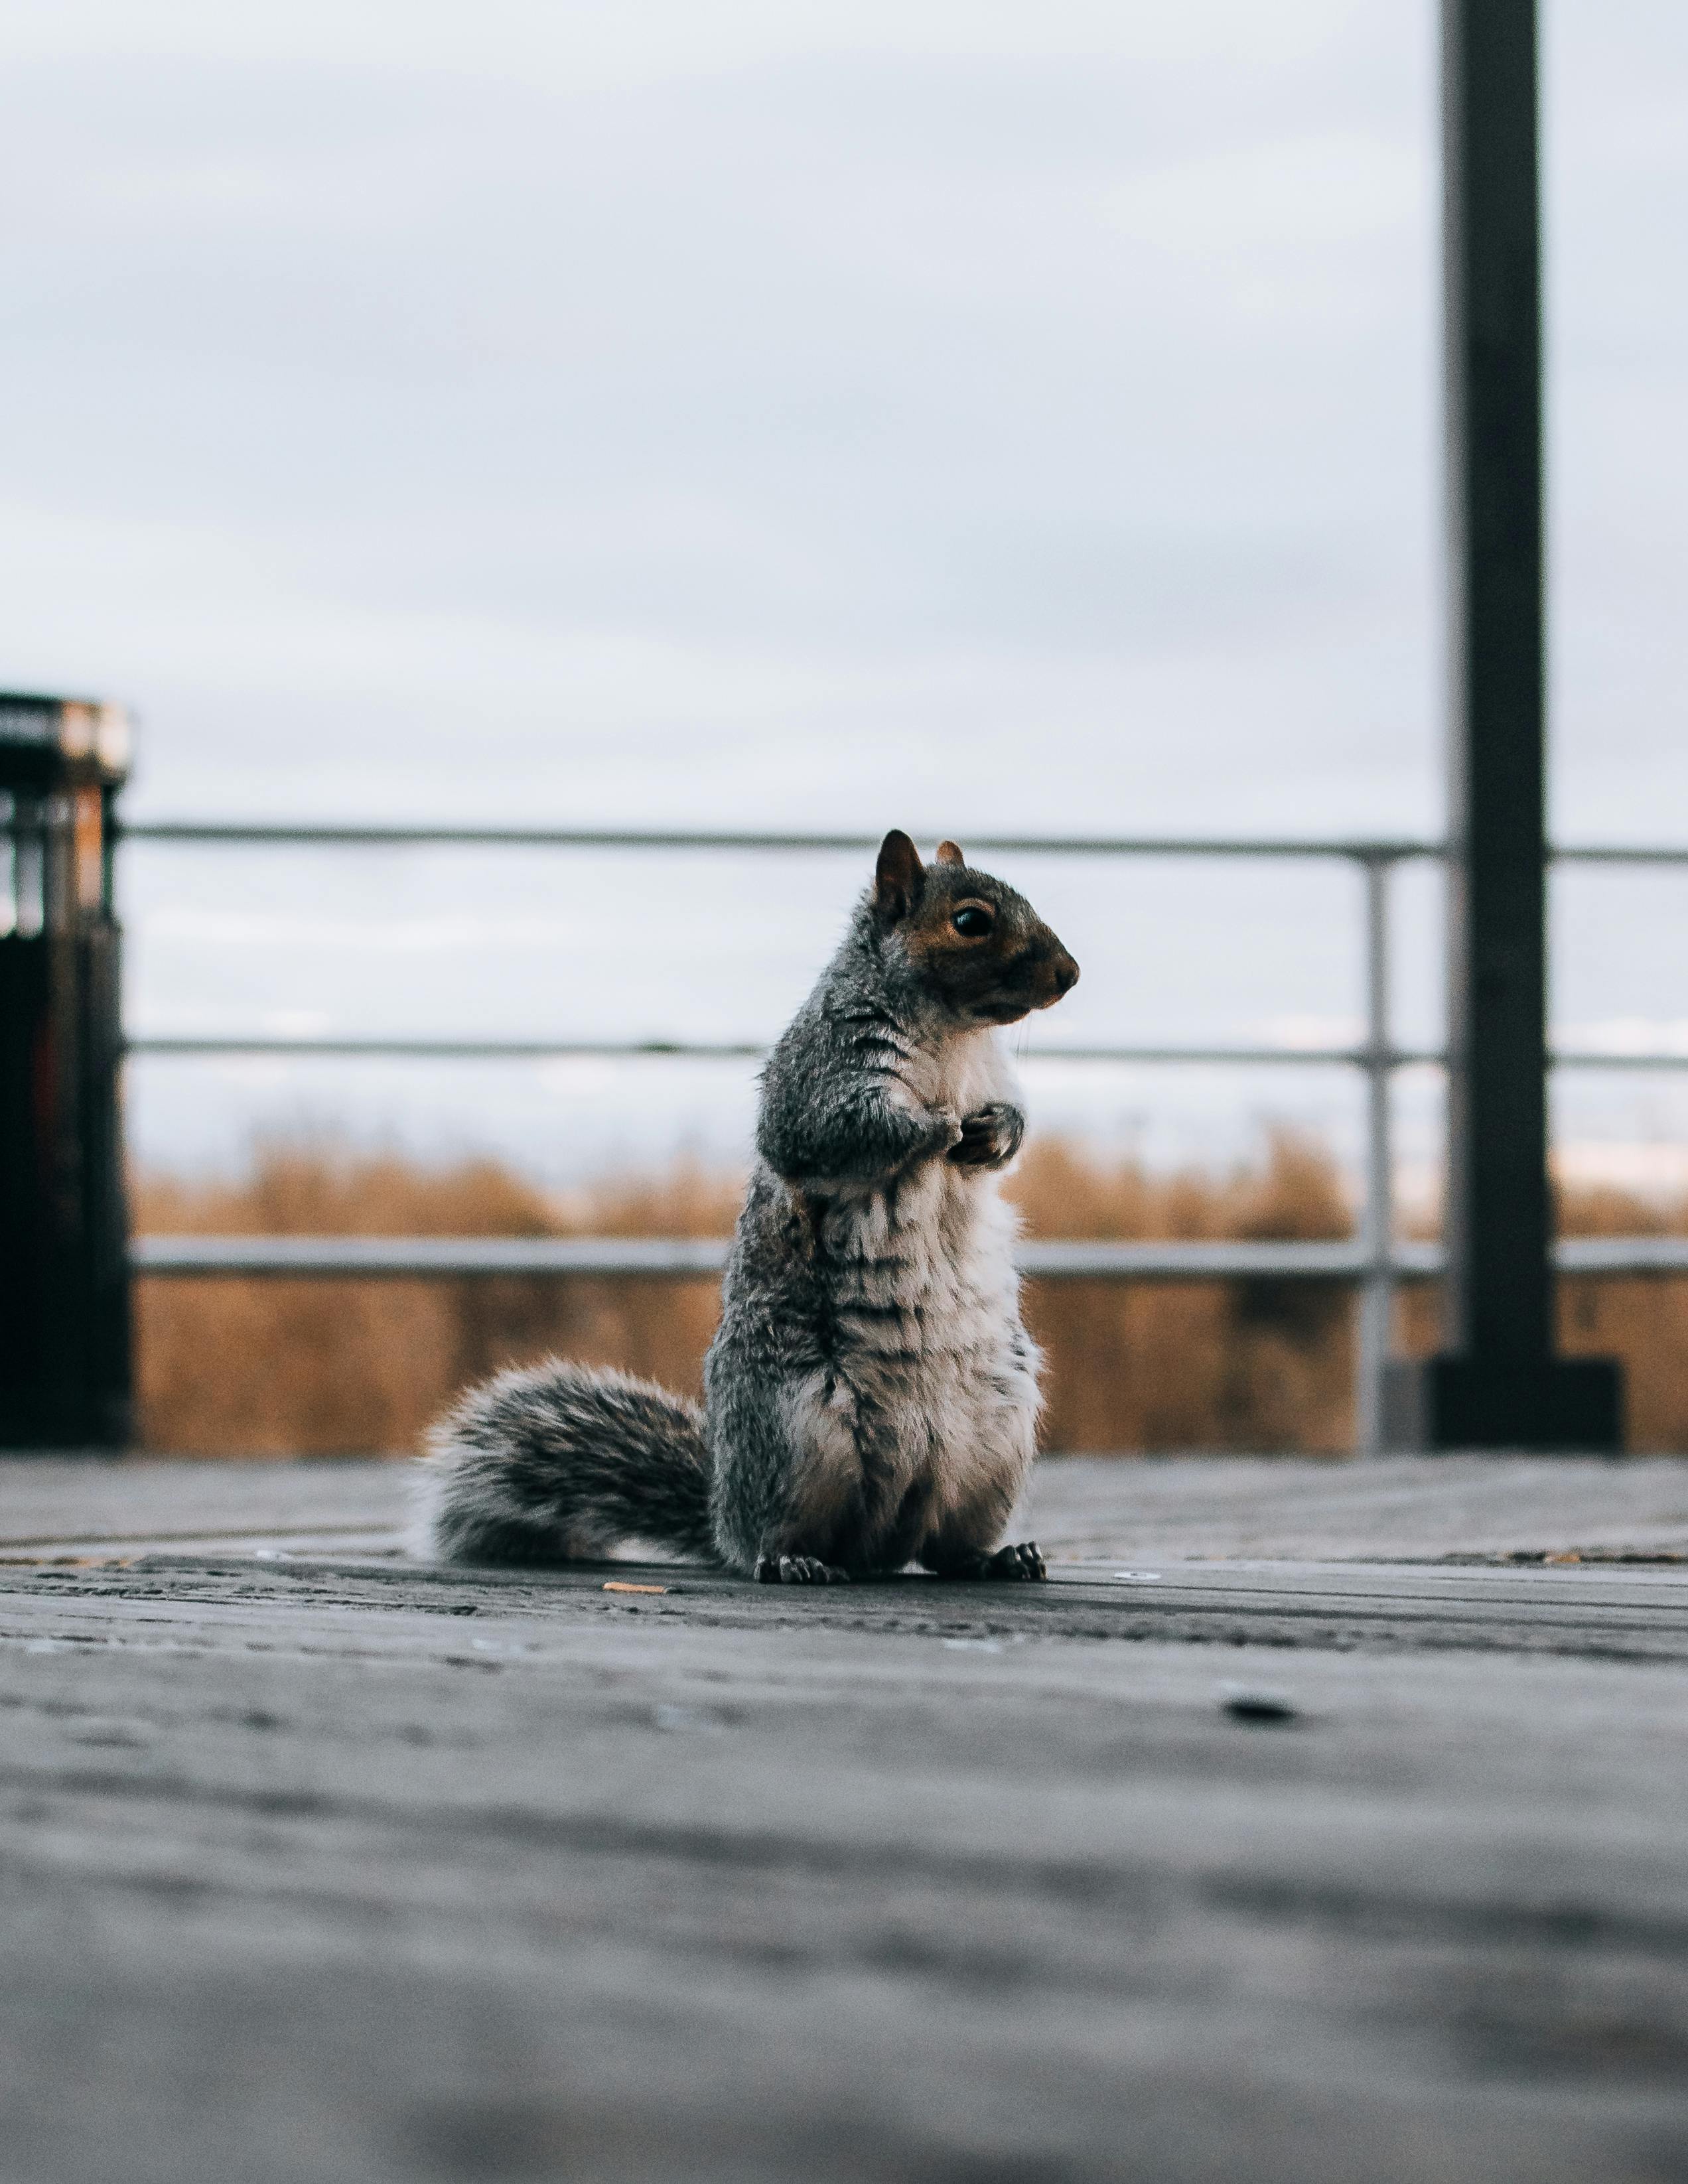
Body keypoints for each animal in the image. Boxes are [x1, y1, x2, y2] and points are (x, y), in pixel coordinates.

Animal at [415, 829, 1080, 1585]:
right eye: (971, 921)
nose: (1069, 974)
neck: (954, 1033)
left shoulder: (995, 1078)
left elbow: (1012, 1128)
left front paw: (994, 1131)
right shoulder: (820, 1077)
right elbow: (834, 1134)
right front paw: (935, 1127)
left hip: (993, 1445)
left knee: (946, 1550)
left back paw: (1001, 1555)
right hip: (793, 1438)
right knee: (780, 1534)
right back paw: (794, 1560)